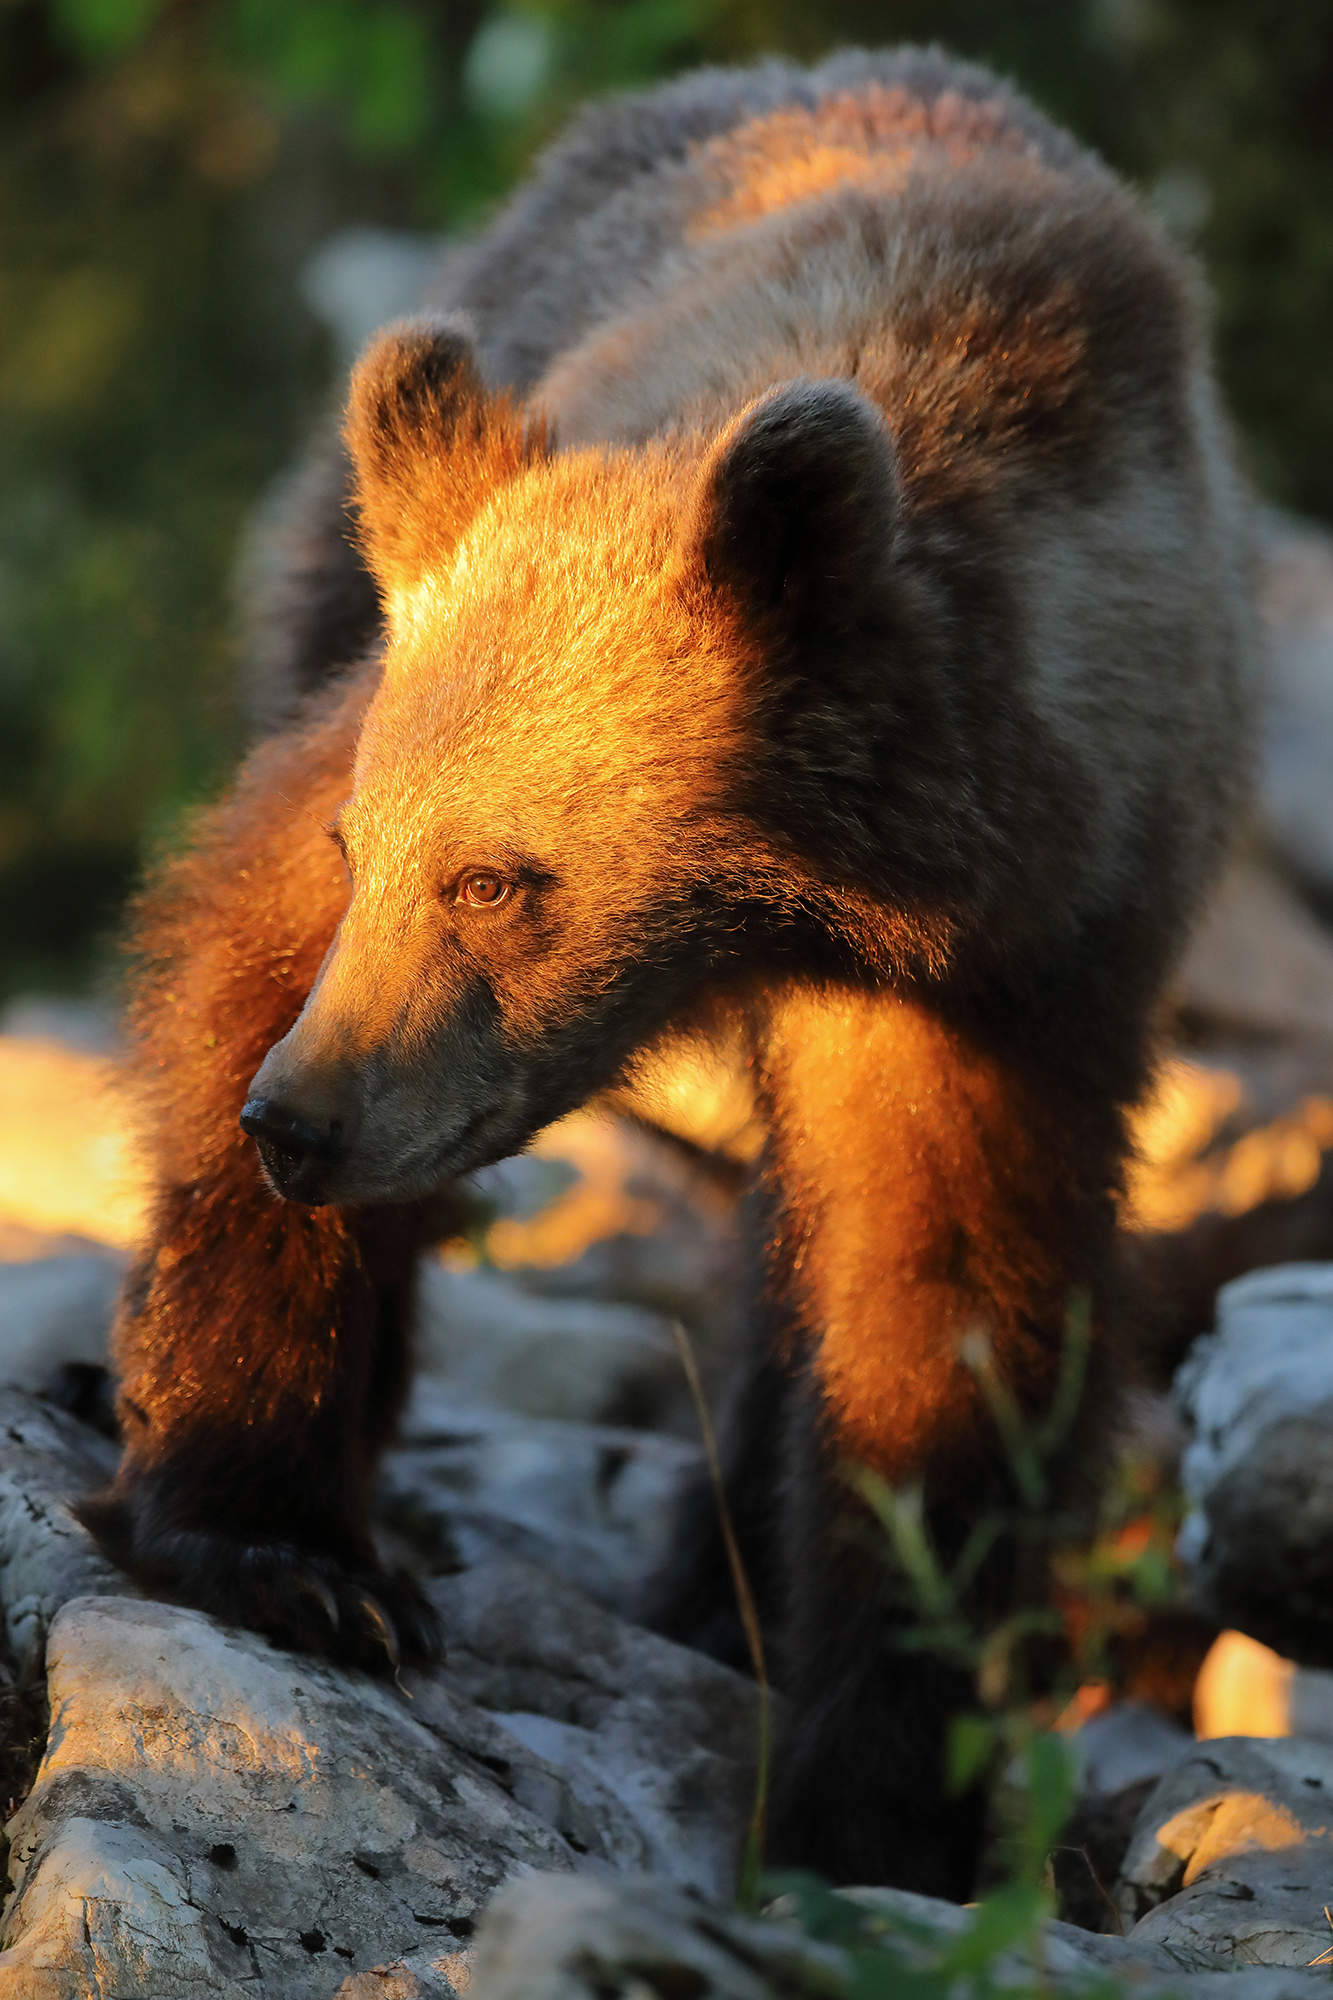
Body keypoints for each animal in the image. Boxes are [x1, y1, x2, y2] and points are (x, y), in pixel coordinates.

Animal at [83, 43, 1248, 1888]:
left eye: (495, 882)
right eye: (363, 849)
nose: (301, 1122)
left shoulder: (1031, 948)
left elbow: (939, 1292)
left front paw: (873, 1795)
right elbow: (237, 950)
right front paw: (286, 1549)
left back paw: (712, 1590)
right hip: (364, 521)